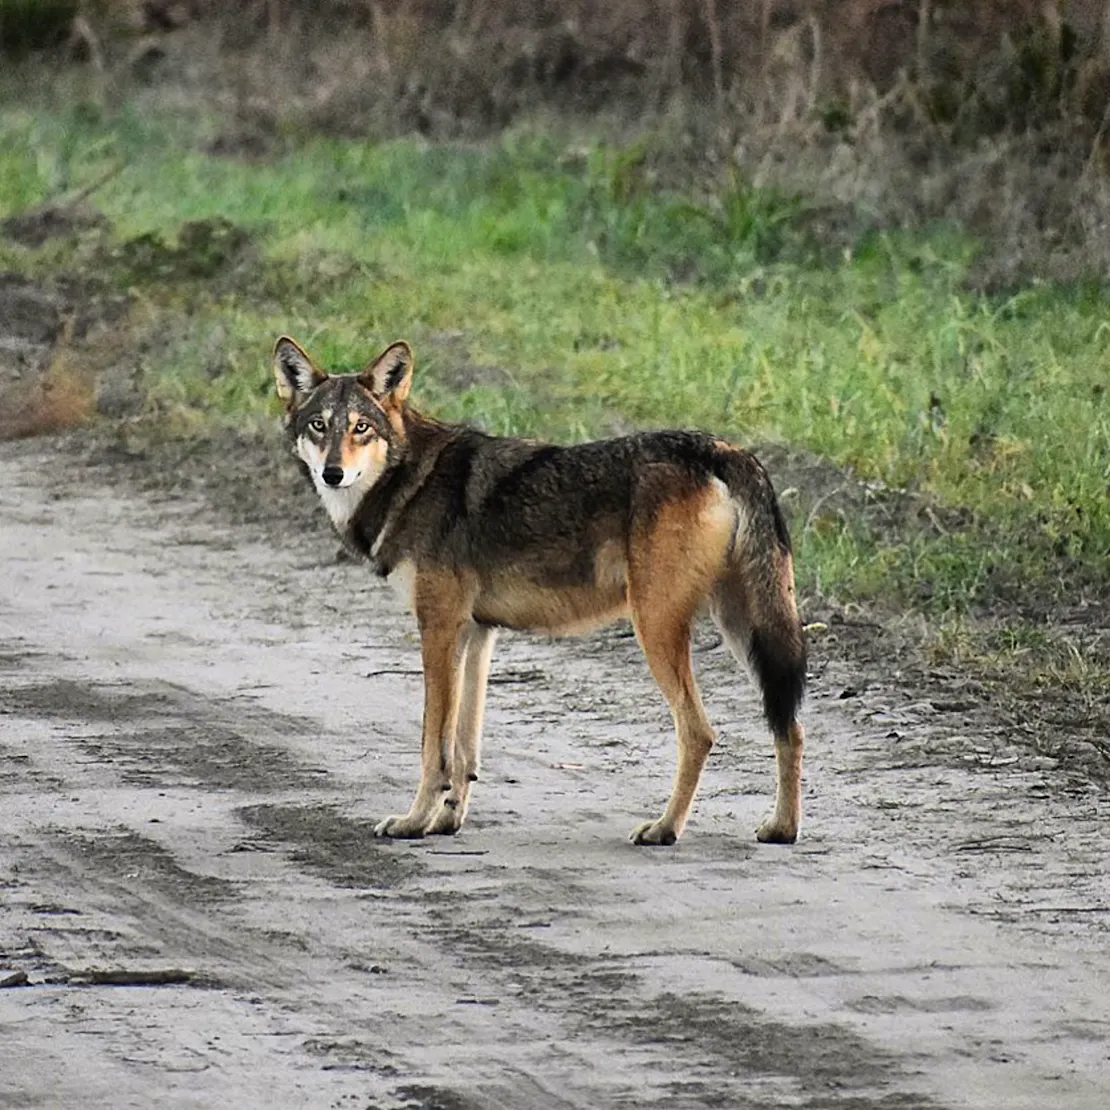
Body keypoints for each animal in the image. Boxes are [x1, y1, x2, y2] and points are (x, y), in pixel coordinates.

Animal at [273, 336, 807, 846]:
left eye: (361, 427)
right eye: (319, 426)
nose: (333, 473)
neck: (410, 481)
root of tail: (727, 451)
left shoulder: (438, 629)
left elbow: (434, 746)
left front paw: (413, 822)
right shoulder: (477, 634)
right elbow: (465, 748)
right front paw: (446, 821)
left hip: (657, 627)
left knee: (700, 732)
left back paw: (664, 829)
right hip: (743, 629)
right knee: (791, 725)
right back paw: (782, 828)